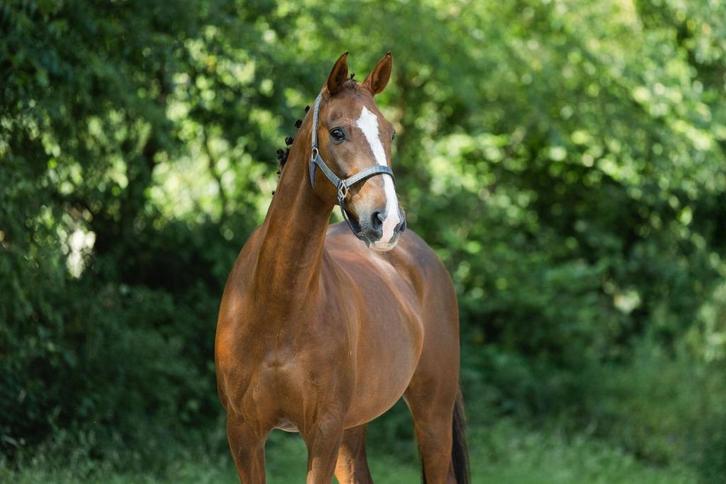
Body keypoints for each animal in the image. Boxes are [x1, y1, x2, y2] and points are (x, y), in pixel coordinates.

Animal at [215, 52, 469, 484]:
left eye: (390, 134)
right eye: (337, 132)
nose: (387, 222)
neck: (278, 302)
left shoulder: (324, 432)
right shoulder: (243, 433)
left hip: (431, 415)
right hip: (355, 429)